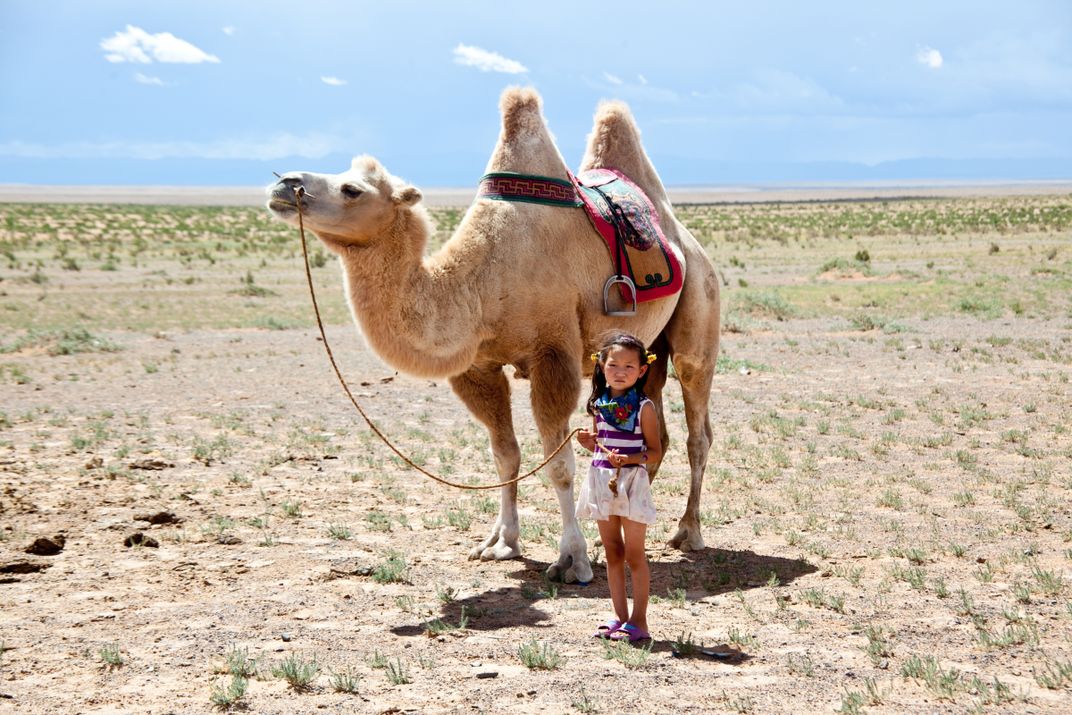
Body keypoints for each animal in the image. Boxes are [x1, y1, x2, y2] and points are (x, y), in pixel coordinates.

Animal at [266, 86, 720, 583]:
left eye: (352, 189)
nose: (283, 183)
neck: (480, 282)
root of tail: (684, 240)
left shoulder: (553, 354)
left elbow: (559, 464)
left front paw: (572, 559)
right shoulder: (478, 365)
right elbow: (505, 455)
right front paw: (501, 543)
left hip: (699, 313)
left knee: (697, 430)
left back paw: (687, 533)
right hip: (647, 347)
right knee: (652, 433)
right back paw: (623, 527)